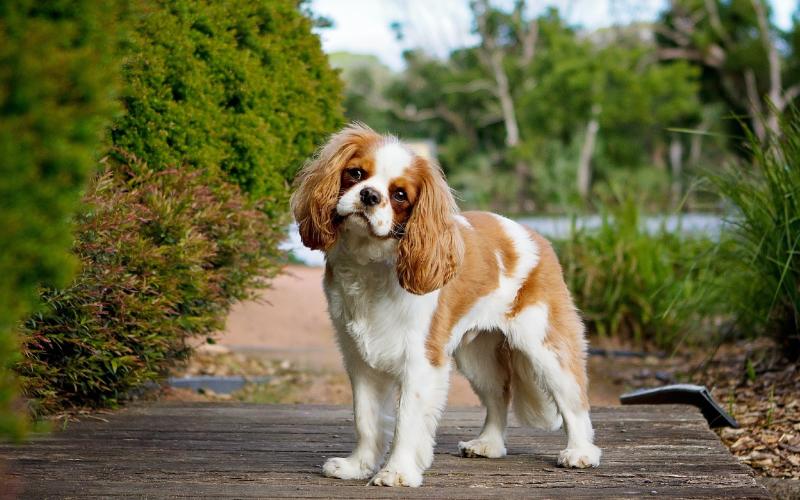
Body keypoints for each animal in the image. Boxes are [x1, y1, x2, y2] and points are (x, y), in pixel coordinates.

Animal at [290, 123, 600, 486]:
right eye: (355, 174)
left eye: (399, 195)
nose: (369, 195)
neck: (370, 263)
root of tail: (534, 234)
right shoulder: (360, 360)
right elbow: (365, 419)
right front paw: (358, 466)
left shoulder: (421, 361)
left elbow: (407, 421)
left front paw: (397, 472)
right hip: (477, 356)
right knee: (499, 394)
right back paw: (488, 444)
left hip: (545, 345)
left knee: (574, 399)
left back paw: (580, 452)